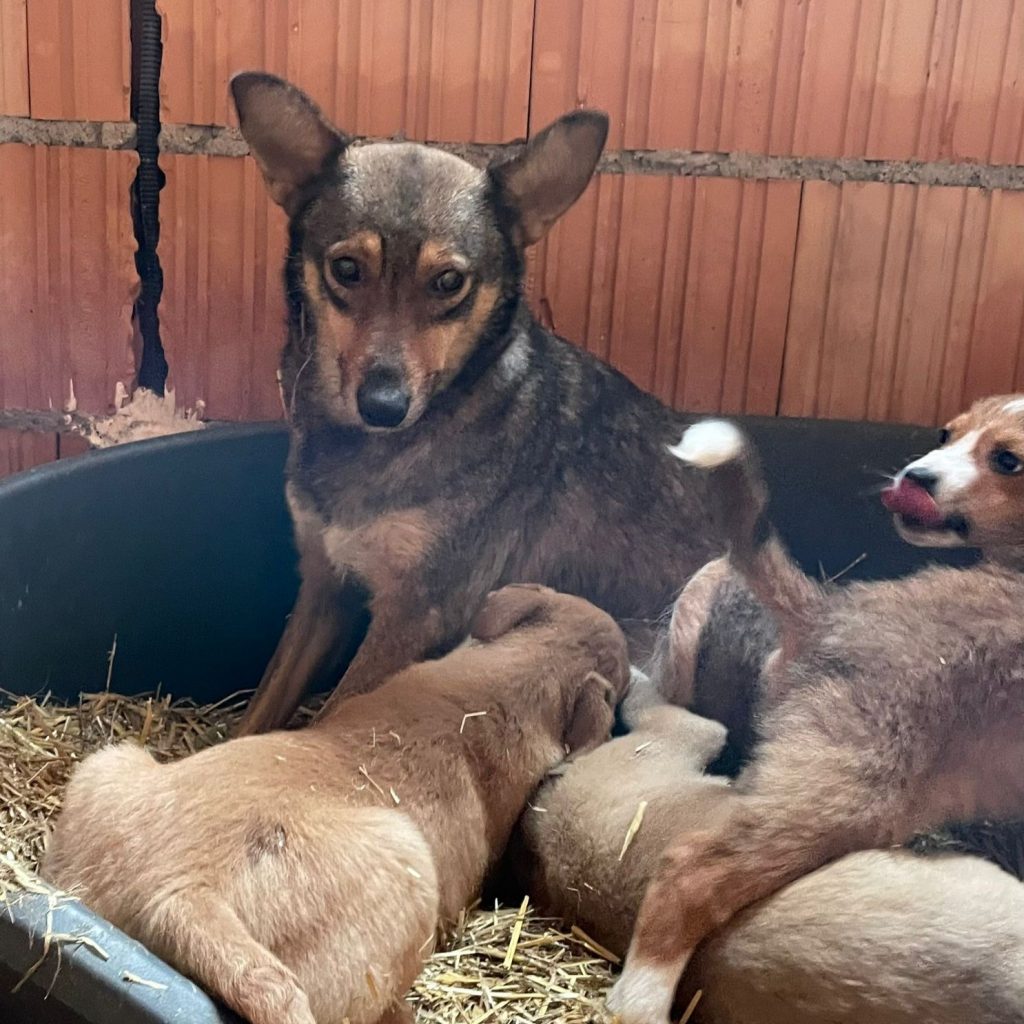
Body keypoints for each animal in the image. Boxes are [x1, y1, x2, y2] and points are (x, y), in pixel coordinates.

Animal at [226, 72, 727, 736]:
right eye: (347, 269)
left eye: (448, 282)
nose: (383, 404)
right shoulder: (323, 590)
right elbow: (258, 713)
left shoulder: (418, 613)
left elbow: (333, 716)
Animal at [609, 396, 1024, 1023]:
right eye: (945, 434)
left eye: (1008, 460)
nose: (913, 479)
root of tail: (831, 611)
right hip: (842, 793)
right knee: (688, 871)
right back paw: (638, 1002)